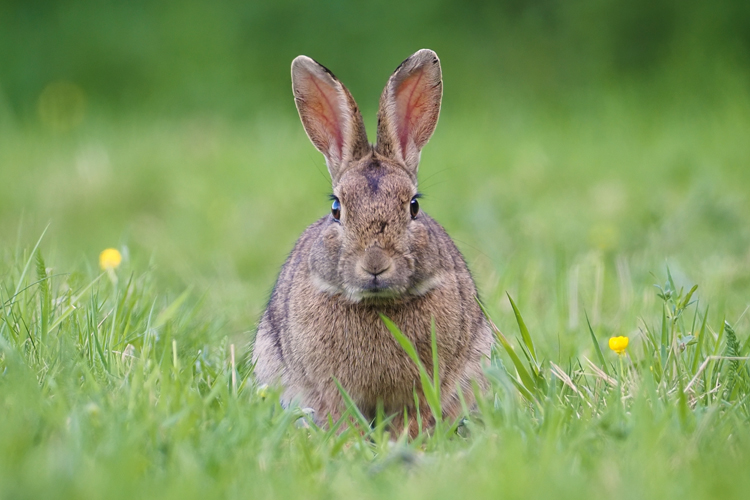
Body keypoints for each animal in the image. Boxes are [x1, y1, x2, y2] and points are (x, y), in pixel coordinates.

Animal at [256, 49, 496, 438]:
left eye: (413, 206)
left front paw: (400, 441)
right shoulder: (327, 386)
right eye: (336, 209)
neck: (377, 304)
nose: (375, 263)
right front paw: (352, 442)